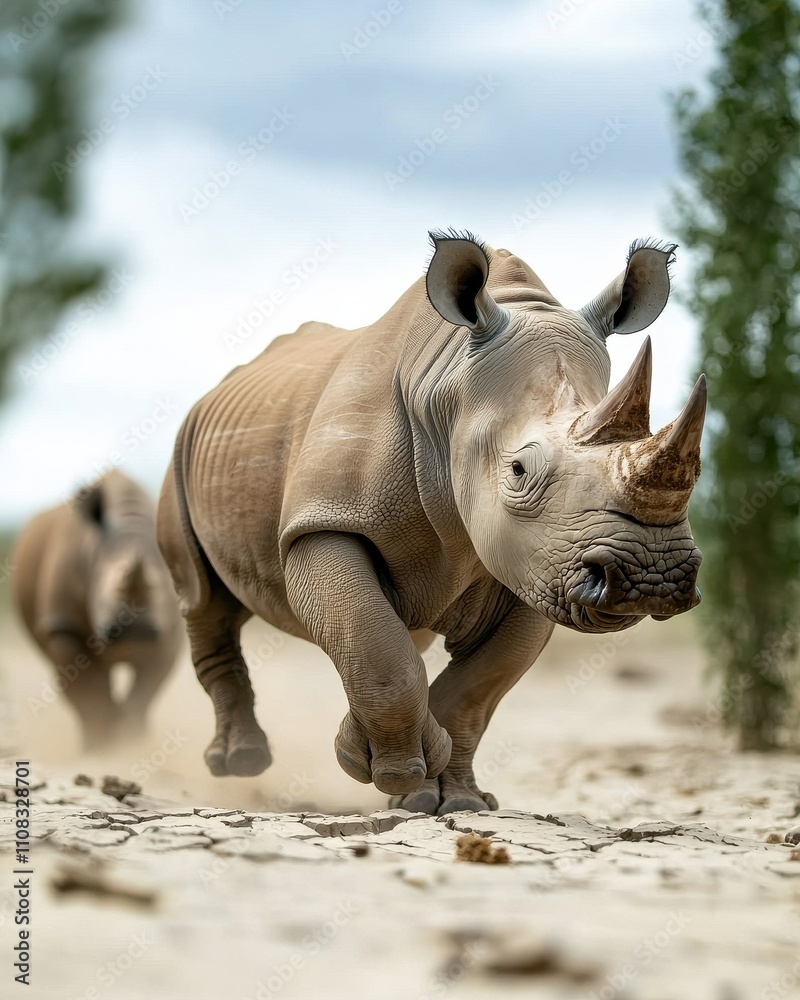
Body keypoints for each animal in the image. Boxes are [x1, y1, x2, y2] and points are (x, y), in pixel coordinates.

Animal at [13, 470, 182, 749]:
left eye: (163, 588)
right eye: (102, 593)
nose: (138, 631)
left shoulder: (170, 628)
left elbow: (146, 690)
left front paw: (130, 743)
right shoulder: (64, 624)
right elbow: (88, 688)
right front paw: (102, 749)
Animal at [157, 231, 705, 814]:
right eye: (519, 470)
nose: (652, 578)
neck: (448, 393)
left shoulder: (539, 560)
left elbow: (475, 687)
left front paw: (454, 801)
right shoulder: (324, 523)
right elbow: (379, 651)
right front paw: (388, 772)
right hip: (182, 453)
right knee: (202, 597)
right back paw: (239, 763)